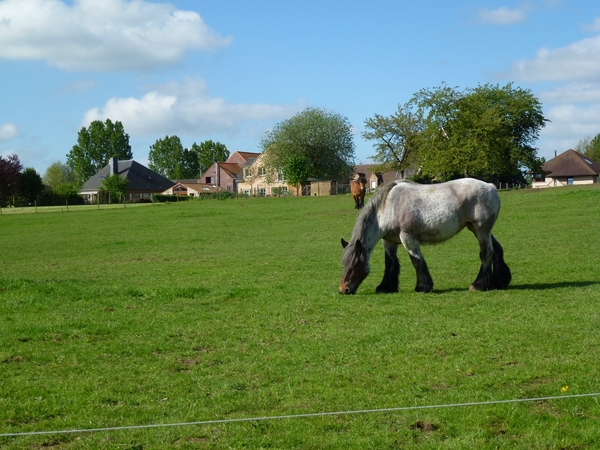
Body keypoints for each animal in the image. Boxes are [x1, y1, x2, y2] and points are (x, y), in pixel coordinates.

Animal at [340, 179, 512, 296]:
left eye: (355, 264)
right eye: (344, 264)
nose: (343, 289)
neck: (388, 206)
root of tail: (490, 186)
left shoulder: (407, 238)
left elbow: (417, 261)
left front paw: (422, 287)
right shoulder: (389, 241)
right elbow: (390, 263)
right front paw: (385, 287)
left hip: (481, 230)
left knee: (486, 253)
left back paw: (478, 285)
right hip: (479, 230)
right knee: (496, 250)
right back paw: (498, 282)